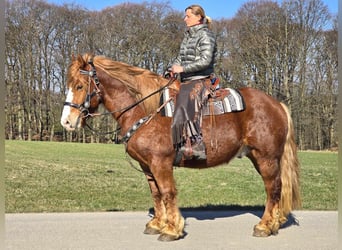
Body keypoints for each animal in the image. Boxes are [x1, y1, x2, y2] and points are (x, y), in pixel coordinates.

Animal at [60, 53, 300, 242]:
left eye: (80, 86)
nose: (67, 122)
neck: (145, 110)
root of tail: (277, 104)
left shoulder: (161, 163)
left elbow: (168, 192)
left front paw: (172, 229)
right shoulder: (147, 166)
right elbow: (156, 194)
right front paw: (157, 223)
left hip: (266, 157)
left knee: (273, 188)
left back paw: (265, 226)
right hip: (260, 158)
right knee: (277, 188)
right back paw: (275, 221)